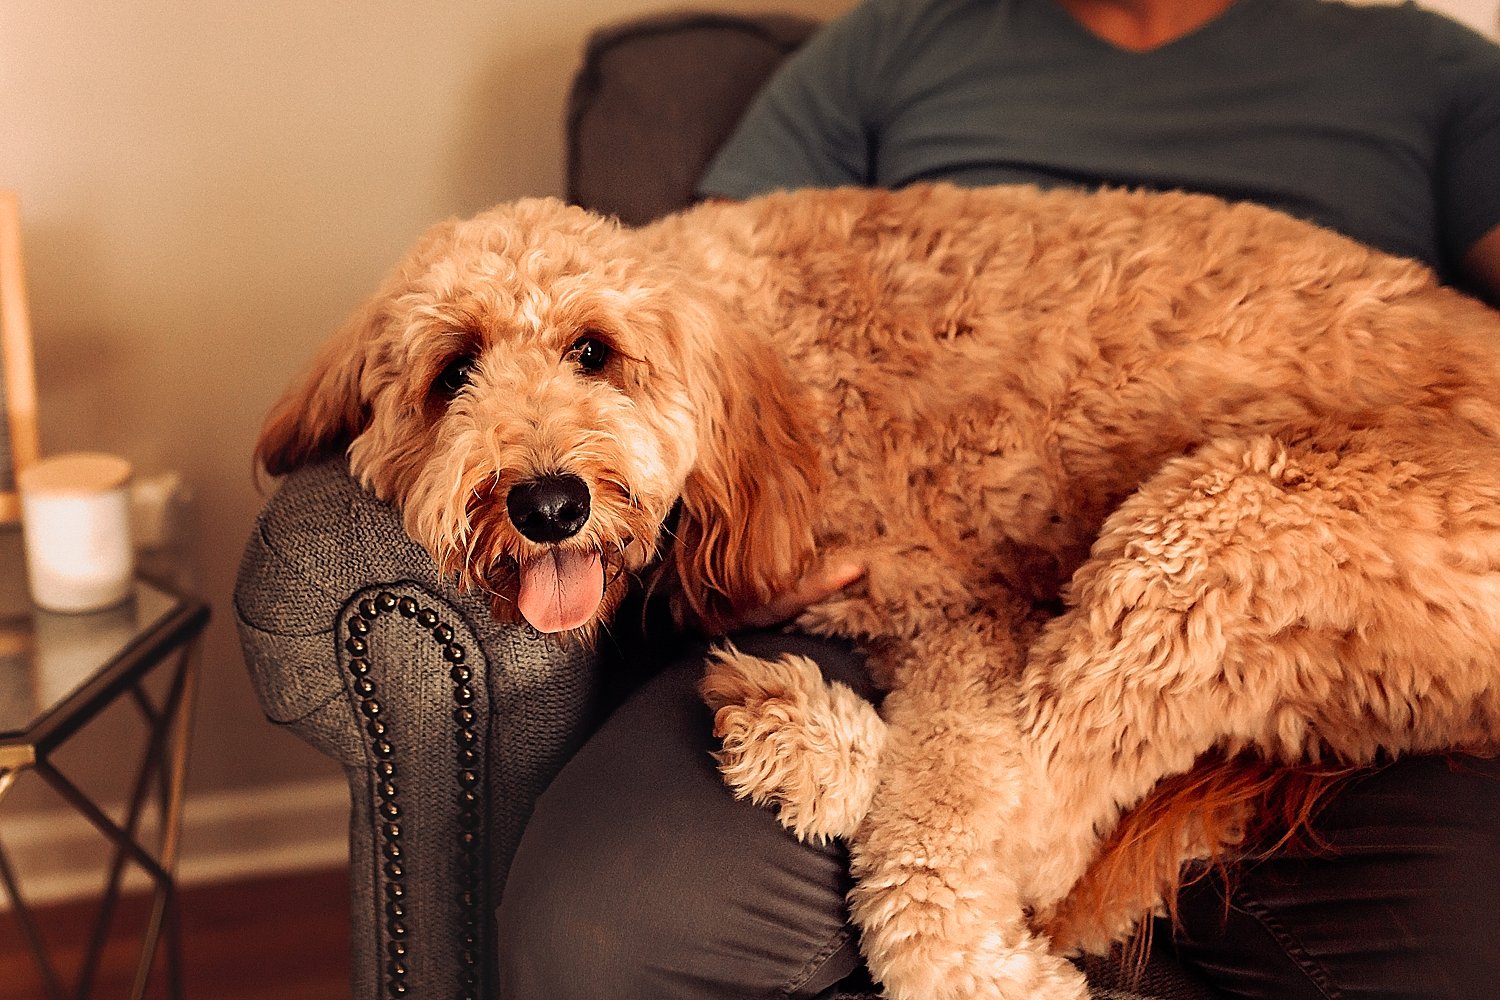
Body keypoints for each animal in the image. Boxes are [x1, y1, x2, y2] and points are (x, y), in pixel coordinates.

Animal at [258, 182, 1500, 1000]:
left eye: (594, 350)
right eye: (452, 372)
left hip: (1221, 517)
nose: (548, 501)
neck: (759, 363)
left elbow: (942, 834)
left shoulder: (971, 608)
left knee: (1041, 829)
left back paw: (808, 739)